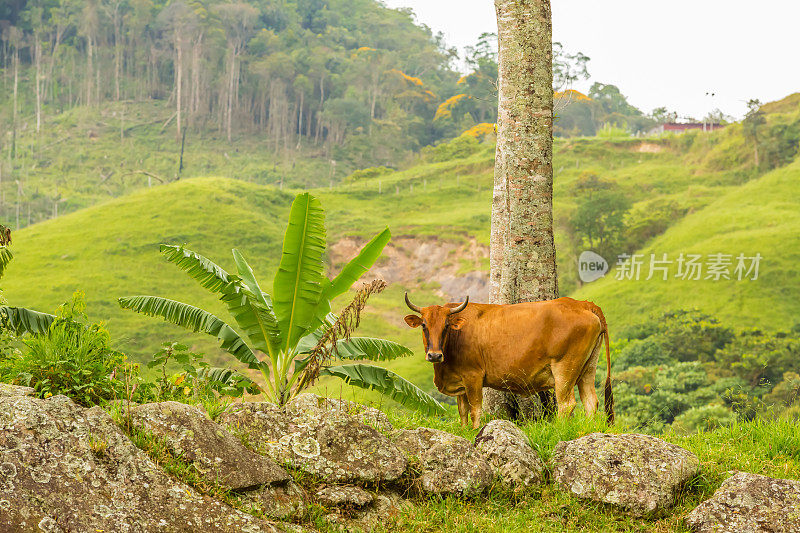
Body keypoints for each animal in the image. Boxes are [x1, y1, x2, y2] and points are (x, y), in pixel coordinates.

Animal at [404, 294, 616, 430]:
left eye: (446, 325)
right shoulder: (460, 381)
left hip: (565, 368)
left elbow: (475, 410)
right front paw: (464, 432)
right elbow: (462, 411)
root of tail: (581, 304)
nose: (434, 355)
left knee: (567, 404)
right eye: (424, 325)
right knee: (591, 401)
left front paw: (474, 431)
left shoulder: (473, 377)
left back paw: (560, 430)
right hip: (588, 368)